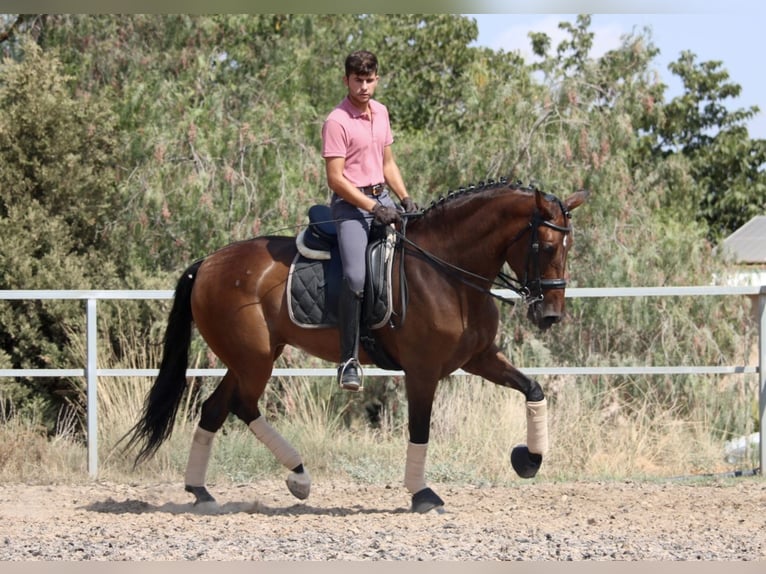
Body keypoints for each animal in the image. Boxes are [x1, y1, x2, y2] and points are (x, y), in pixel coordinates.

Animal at [129, 179, 592, 512]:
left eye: (569, 247)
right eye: (546, 245)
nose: (550, 315)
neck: (447, 270)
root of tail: (207, 263)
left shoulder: (479, 357)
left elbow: (533, 388)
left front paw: (528, 460)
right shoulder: (422, 371)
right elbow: (420, 428)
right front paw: (422, 494)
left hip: (246, 358)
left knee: (215, 408)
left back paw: (203, 491)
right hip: (255, 359)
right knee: (243, 406)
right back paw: (297, 477)